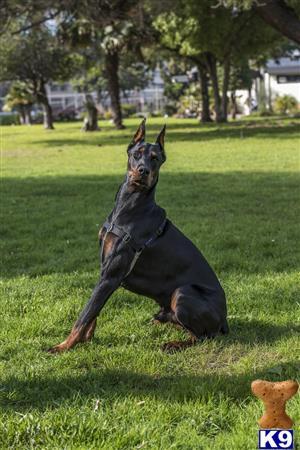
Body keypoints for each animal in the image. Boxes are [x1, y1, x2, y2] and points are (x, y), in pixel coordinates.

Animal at [48, 119, 229, 356]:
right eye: (137, 154)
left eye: (155, 158)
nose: (143, 171)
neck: (130, 206)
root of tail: (225, 319)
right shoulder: (105, 271)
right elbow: (93, 312)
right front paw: (86, 339)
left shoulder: (111, 275)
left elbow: (84, 315)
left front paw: (63, 346)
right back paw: (162, 319)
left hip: (183, 292)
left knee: (204, 336)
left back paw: (174, 343)